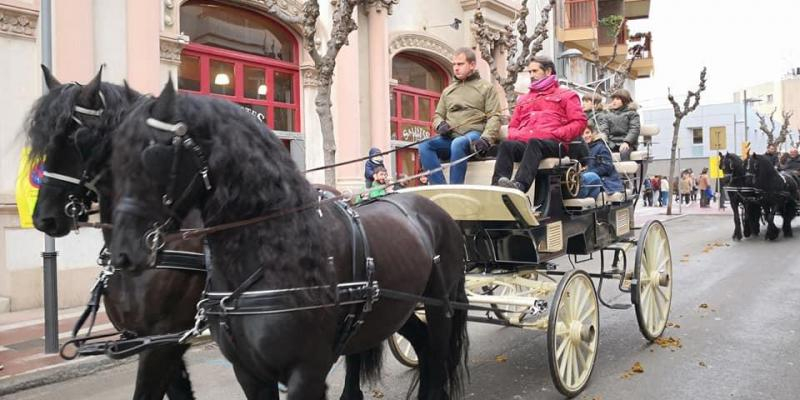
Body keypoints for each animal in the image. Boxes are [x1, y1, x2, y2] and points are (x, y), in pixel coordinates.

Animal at [107, 82, 468, 400]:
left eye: (153, 152)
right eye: (116, 154)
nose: (123, 253)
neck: (273, 254)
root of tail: (435, 209)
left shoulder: (306, 373)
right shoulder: (248, 373)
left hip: (440, 305)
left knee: (437, 355)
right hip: (397, 307)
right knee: (423, 346)